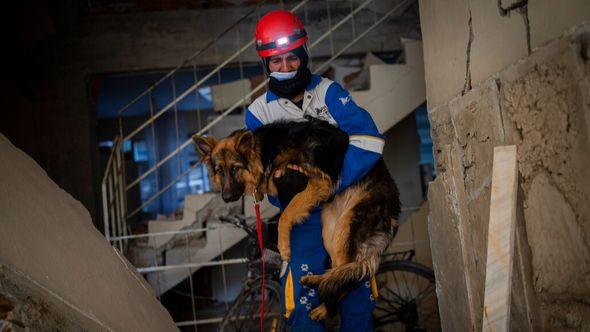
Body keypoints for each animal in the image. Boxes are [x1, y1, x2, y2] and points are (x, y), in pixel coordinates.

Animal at [194, 118, 402, 320]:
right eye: (219, 171)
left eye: (235, 168)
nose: (226, 197)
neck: (266, 151)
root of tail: (394, 208)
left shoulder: (317, 182)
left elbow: (285, 215)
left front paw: (284, 248)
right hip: (330, 232)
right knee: (340, 271)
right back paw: (317, 281)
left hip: (345, 228)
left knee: (349, 279)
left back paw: (324, 308)